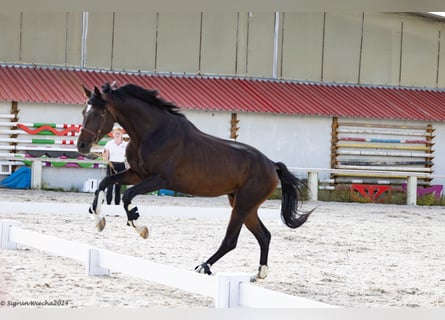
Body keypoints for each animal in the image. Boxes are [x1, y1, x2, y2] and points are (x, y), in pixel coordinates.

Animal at [76, 83, 312, 280]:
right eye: (83, 112)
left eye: (97, 113)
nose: (82, 146)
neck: (152, 132)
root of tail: (272, 165)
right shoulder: (136, 174)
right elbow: (105, 183)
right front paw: (98, 220)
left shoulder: (158, 180)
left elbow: (126, 196)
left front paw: (141, 228)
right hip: (244, 205)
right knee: (264, 236)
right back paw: (259, 274)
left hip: (243, 204)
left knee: (232, 240)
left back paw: (204, 267)